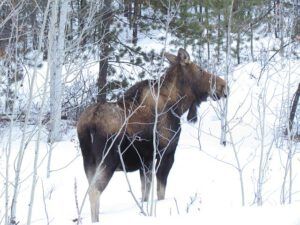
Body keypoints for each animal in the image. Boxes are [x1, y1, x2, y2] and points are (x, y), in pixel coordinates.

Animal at [77, 48, 227, 222]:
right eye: (200, 69)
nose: (224, 85)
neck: (178, 105)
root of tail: (89, 124)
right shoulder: (166, 154)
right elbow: (160, 192)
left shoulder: (146, 162)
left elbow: (145, 193)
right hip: (108, 160)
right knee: (94, 191)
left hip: (89, 162)